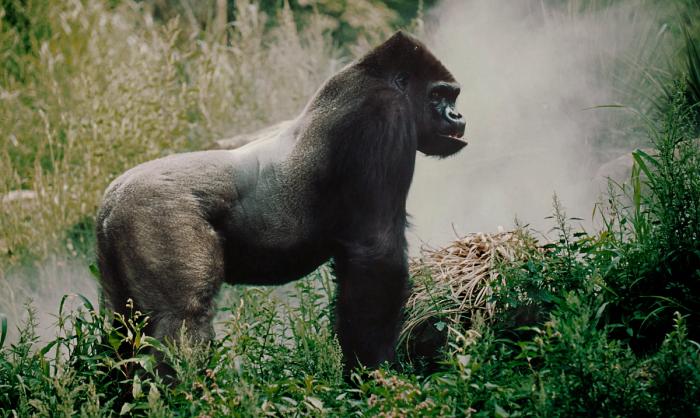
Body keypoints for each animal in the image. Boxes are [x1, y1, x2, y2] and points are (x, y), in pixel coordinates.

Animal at [96, 30, 467, 375]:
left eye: (452, 96)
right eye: (438, 94)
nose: (457, 116)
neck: (372, 76)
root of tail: (111, 200)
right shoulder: (384, 115)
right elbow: (376, 254)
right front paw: (374, 374)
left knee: (122, 331)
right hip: (157, 215)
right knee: (180, 322)